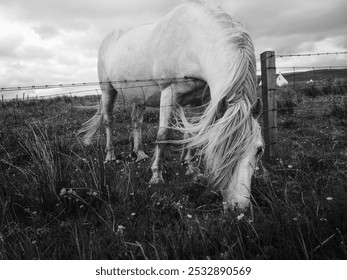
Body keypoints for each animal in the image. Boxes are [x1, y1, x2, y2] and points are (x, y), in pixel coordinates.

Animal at [78, 0, 264, 210]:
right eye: (217, 150)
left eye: (259, 149)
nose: (238, 206)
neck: (192, 41)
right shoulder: (169, 93)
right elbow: (163, 135)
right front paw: (156, 176)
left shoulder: (200, 100)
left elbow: (192, 135)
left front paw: (191, 168)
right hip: (108, 90)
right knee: (109, 121)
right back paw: (110, 156)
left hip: (139, 96)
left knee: (136, 122)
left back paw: (139, 153)